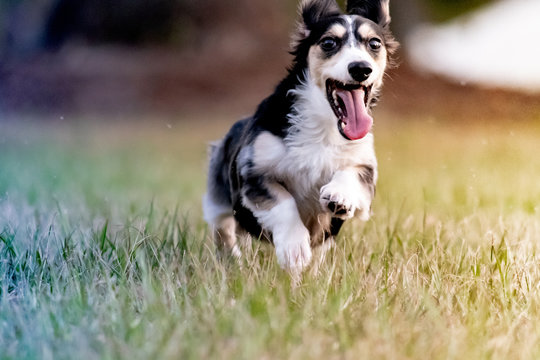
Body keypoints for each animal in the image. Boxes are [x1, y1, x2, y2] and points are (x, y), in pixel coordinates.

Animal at [202, 0, 396, 274]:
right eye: (328, 43)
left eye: (374, 44)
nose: (361, 68)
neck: (323, 126)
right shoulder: (254, 173)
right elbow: (284, 204)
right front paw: (294, 249)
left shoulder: (365, 169)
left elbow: (351, 175)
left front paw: (339, 196)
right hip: (217, 194)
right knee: (223, 229)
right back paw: (233, 261)